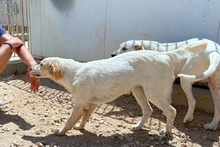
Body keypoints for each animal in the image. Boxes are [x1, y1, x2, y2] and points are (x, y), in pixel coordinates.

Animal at [30, 40, 206, 136]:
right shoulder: (91, 104)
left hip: (153, 93)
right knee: (148, 110)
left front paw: (61, 132)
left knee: (171, 111)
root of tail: (165, 55)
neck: (74, 73)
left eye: (41, 64)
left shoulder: (80, 104)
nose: (31, 67)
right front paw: (81, 127)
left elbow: (69, 121)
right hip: (139, 91)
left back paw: (167, 132)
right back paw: (138, 127)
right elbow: (85, 117)